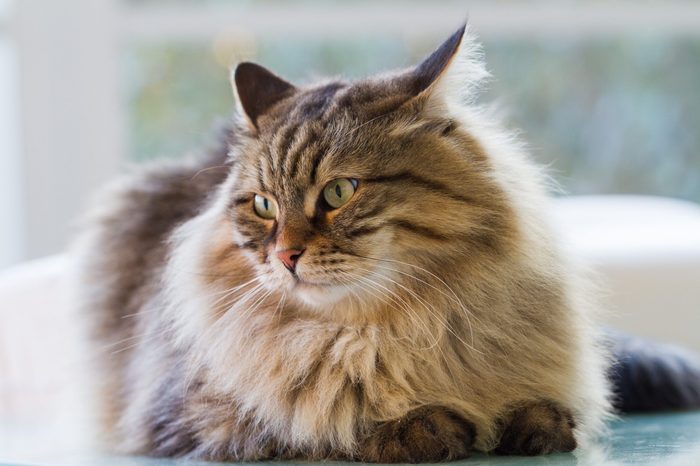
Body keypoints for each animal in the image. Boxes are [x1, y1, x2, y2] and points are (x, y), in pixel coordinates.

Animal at [76, 23, 700, 460]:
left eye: (338, 192)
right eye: (263, 206)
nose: (285, 256)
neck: (391, 330)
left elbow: (545, 411)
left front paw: (526, 425)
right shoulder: (196, 414)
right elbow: (318, 422)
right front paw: (421, 427)